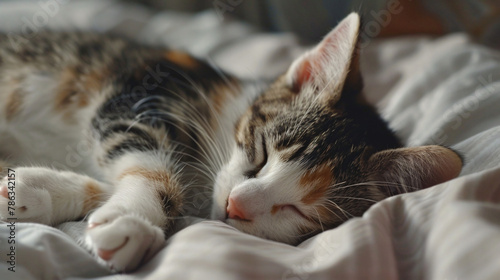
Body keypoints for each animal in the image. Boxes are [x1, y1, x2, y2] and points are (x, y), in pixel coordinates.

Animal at [0, 13, 460, 272]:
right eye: (262, 152)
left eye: (299, 211)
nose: (236, 205)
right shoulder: (141, 85)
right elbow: (142, 152)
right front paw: (132, 216)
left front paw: (32, 189)